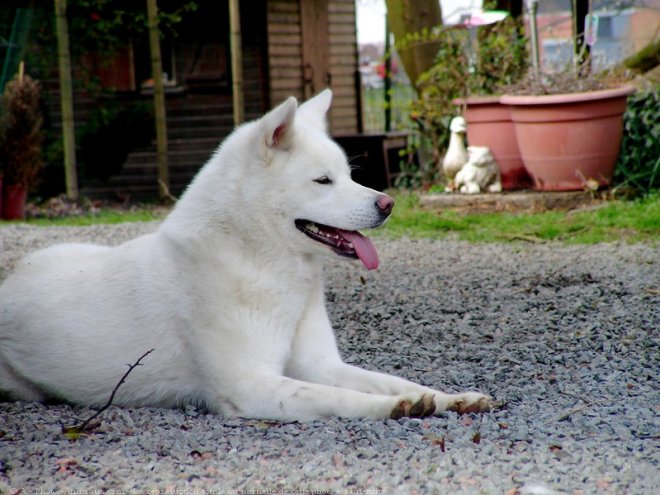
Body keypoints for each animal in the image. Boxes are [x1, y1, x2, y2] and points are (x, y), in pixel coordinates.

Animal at [0, 91, 492, 420]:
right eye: (323, 181)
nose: (388, 204)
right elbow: (343, 398)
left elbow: (391, 379)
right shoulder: (252, 385)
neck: (263, 262)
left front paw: (450, 397)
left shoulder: (321, 365)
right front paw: (393, 406)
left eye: (350, 176)